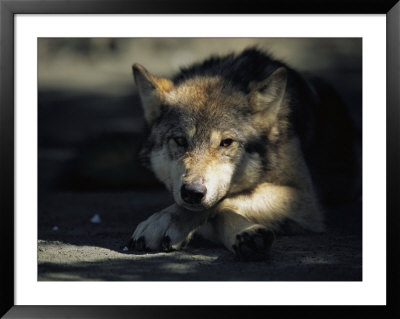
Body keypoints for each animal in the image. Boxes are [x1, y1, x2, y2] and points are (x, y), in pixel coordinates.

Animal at [127, 48, 360, 262]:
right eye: (180, 141)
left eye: (226, 143)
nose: (192, 192)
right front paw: (245, 234)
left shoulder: (305, 200)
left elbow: (222, 201)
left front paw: (165, 221)